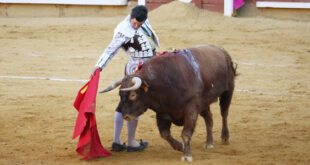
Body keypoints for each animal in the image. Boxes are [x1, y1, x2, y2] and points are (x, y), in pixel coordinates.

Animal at [101, 44, 237, 162]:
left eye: (133, 95)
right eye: (120, 95)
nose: (126, 116)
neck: (164, 82)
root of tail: (221, 50)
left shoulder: (191, 110)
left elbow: (186, 133)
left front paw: (187, 156)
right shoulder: (162, 113)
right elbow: (165, 134)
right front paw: (180, 146)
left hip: (228, 90)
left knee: (224, 113)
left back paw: (225, 137)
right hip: (204, 103)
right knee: (209, 118)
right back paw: (209, 142)